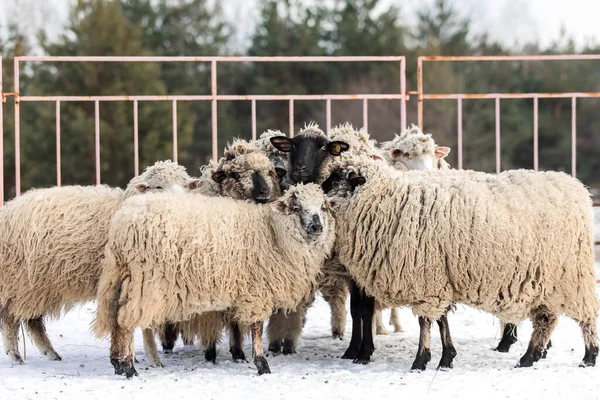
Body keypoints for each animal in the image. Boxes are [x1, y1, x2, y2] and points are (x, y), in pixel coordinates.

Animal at [0, 159, 193, 362]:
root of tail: (7, 209)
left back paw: (50, 353)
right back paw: (16, 355)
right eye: (158, 186)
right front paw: (147, 356)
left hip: (38, 286)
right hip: (20, 281)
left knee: (31, 319)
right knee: (11, 318)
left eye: (185, 186)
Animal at [94, 183, 338, 376]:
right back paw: (128, 368)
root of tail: (122, 223)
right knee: (125, 322)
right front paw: (261, 364)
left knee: (116, 318)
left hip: (127, 278)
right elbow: (257, 328)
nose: (317, 227)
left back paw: (118, 364)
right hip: (147, 282)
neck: (272, 232)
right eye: (297, 207)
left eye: (323, 207)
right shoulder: (257, 290)